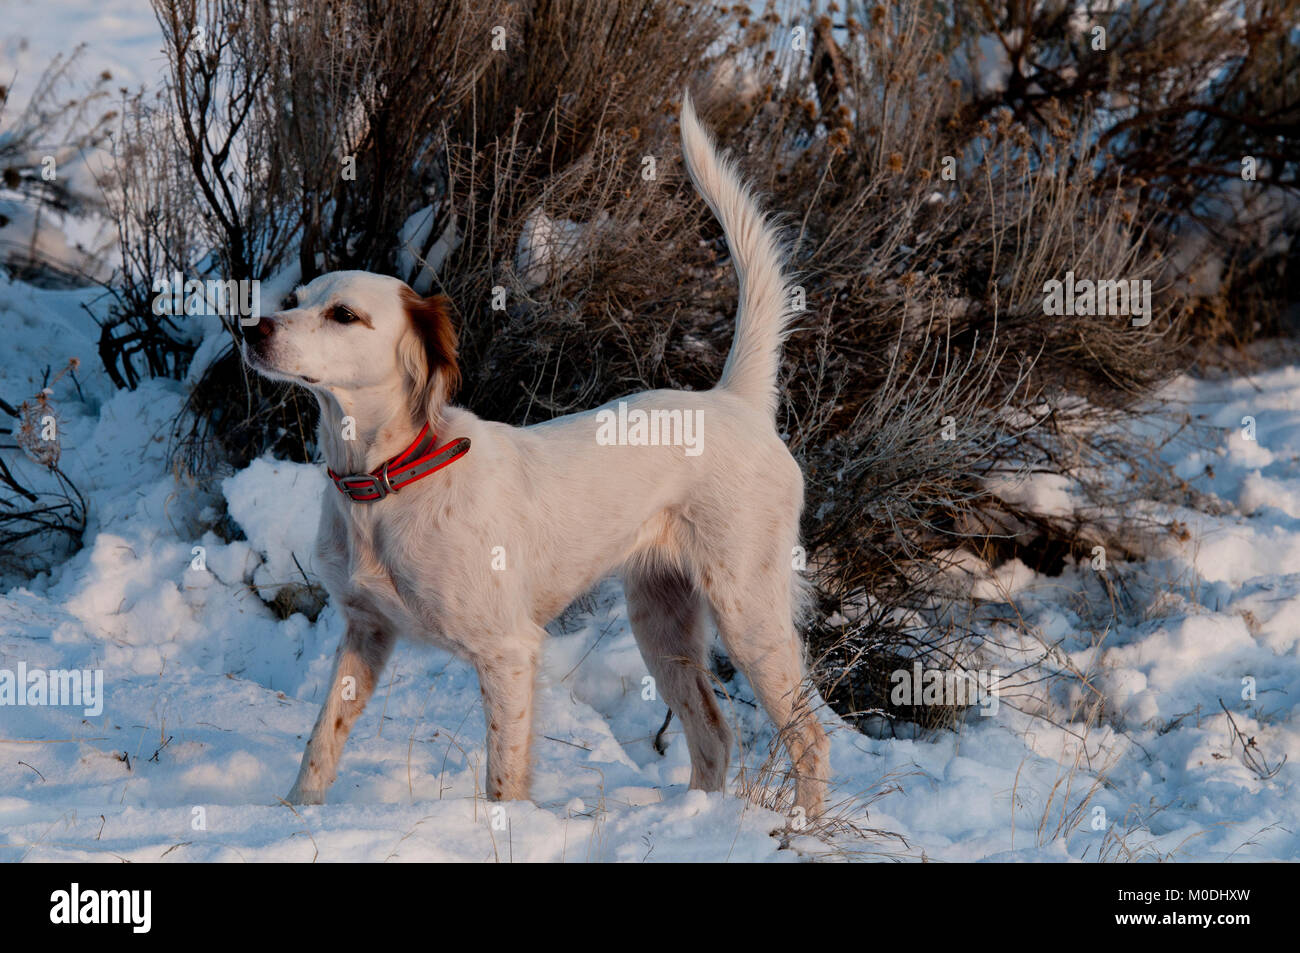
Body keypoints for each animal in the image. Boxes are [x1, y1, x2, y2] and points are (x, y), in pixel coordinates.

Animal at [243, 92, 826, 816]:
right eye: (296, 300)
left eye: (344, 315)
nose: (251, 327)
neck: (387, 481)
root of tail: (735, 400)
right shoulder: (364, 631)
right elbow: (321, 742)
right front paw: (295, 815)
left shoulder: (509, 651)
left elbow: (502, 778)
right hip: (661, 617)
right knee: (714, 734)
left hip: (749, 608)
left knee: (808, 734)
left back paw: (805, 828)